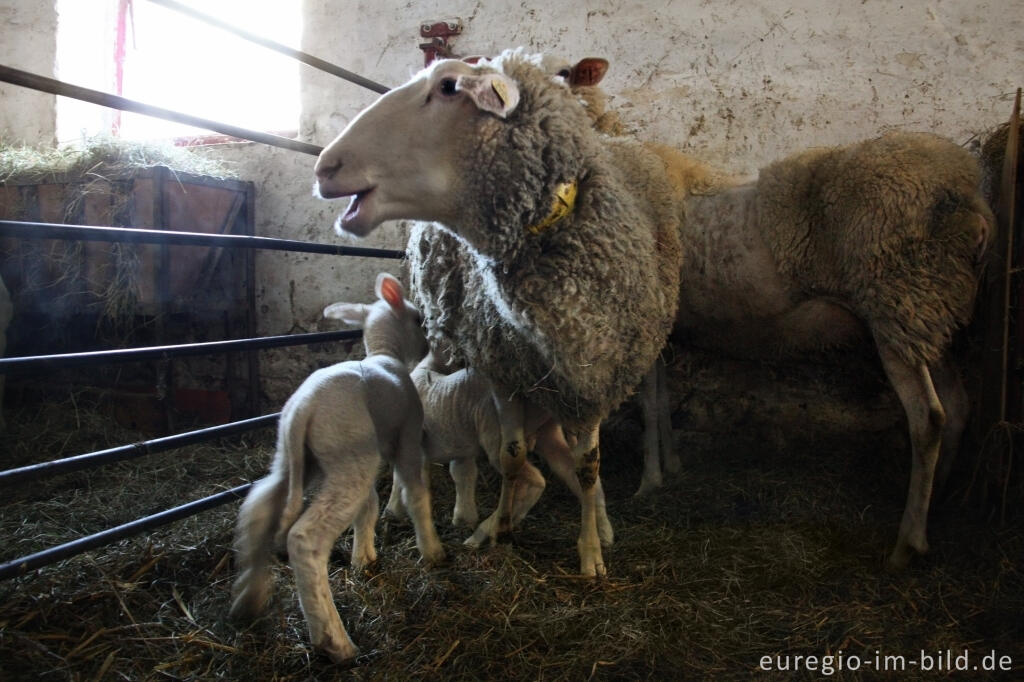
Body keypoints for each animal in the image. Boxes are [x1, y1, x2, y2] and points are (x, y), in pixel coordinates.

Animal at [232, 270, 444, 659]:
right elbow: (415, 493)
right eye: (417, 319)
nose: (427, 348)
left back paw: (249, 601)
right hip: (349, 456)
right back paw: (334, 641)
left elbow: (369, 506)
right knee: (305, 539)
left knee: (258, 509)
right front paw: (432, 550)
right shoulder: (406, 436)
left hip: (296, 460)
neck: (384, 354)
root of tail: (303, 409)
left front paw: (364, 556)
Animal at [311, 46, 679, 573]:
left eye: (448, 87)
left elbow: (589, 467)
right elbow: (510, 454)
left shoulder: (593, 377)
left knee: (645, 407)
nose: (324, 166)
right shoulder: (504, 371)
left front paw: (591, 549)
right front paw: (498, 529)